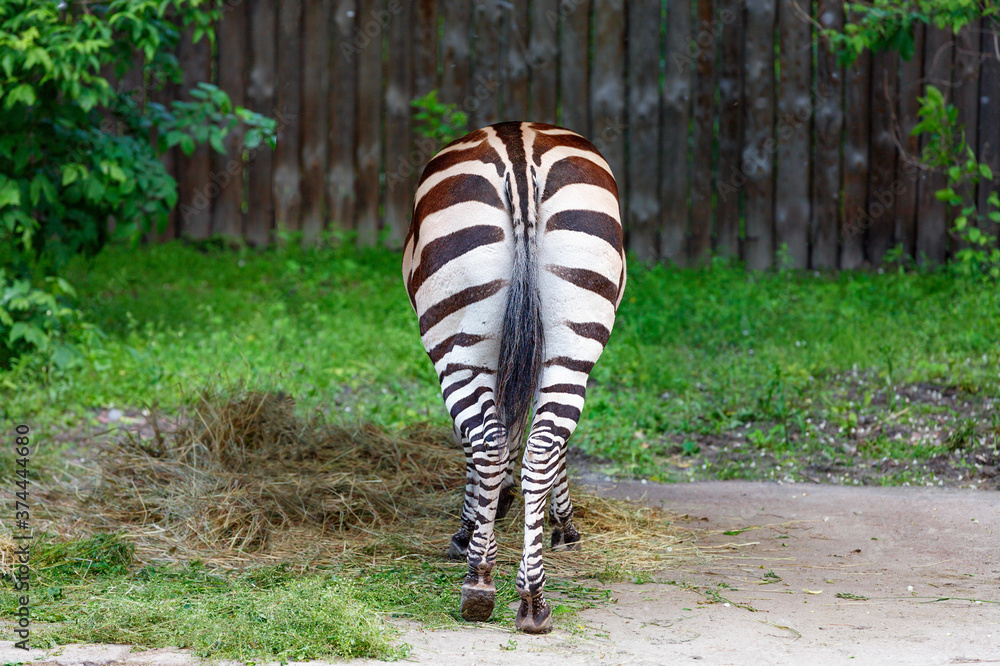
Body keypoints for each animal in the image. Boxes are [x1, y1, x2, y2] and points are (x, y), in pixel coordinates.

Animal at [402, 121, 625, 634]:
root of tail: (518, 149)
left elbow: (491, 437)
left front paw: (475, 523)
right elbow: (536, 438)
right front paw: (556, 523)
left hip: (459, 345)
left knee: (487, 441)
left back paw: (479, 580)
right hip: (571, 335)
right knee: (541, 445)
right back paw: (531, 598)